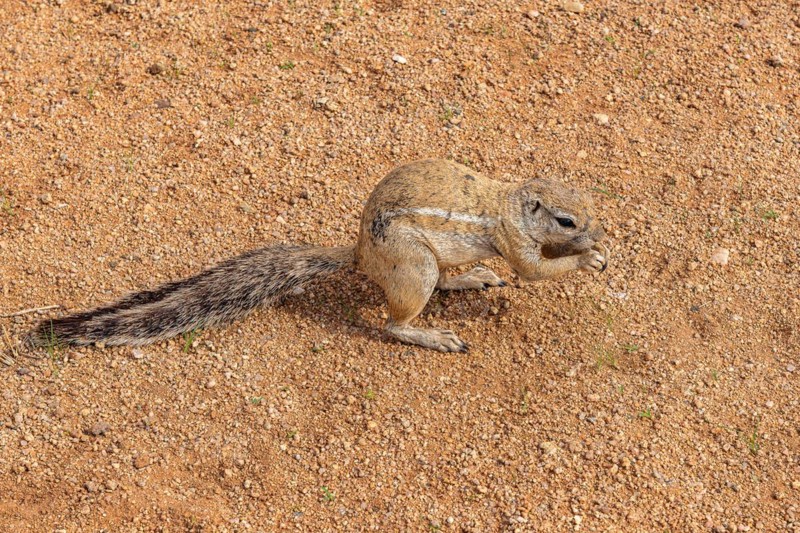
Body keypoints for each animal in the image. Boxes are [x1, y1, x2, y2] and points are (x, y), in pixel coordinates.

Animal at [28, 159, 609, 352]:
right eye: (566, 219)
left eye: (589, 201)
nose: (599, 231)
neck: (512, 202)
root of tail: (361, 256)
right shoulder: (516, 240)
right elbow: (535, 270)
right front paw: (587, 258)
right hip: (413, 265)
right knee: (396, 323)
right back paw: (432, 335)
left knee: (444, 282)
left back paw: (471, 279)